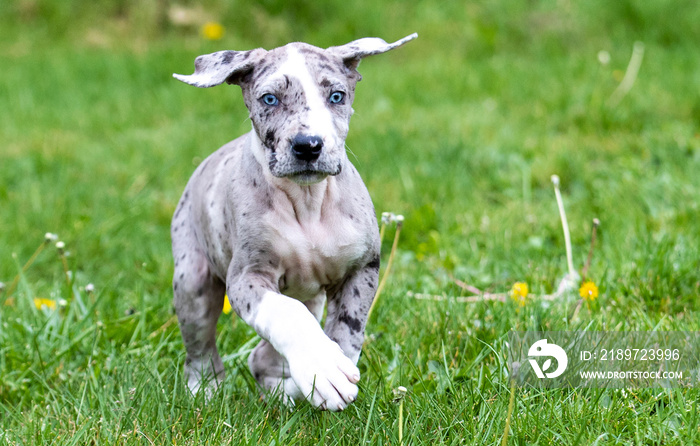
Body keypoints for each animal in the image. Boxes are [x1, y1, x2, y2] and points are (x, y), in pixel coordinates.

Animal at [171, 34, 416, 412]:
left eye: (337, 96)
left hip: (310, 296)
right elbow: (286, 315)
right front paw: (322, 368)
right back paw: (205, 391)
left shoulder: (362, 269)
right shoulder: (247, 277)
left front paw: (327, 373)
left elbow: (348, 333)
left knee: (262, 358)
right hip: (192, 282)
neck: (307, 201)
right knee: (200, 350)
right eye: (269, 99)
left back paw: (286, 394)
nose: (308, 146)